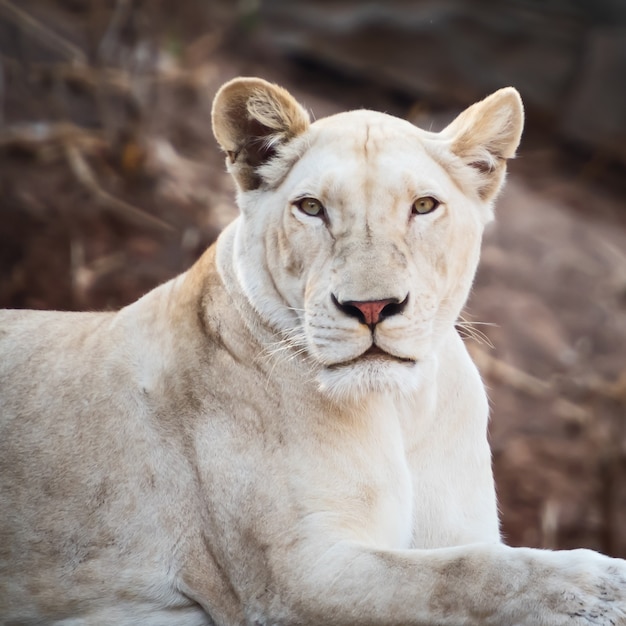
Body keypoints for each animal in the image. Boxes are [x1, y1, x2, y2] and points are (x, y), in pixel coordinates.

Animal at [1, 78, 624, 624]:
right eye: (311, 208)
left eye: (424, 206)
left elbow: (462, 560)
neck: (400, 410)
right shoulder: (292, 579)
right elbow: (460, 575)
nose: (371, 307)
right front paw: (599, 587)